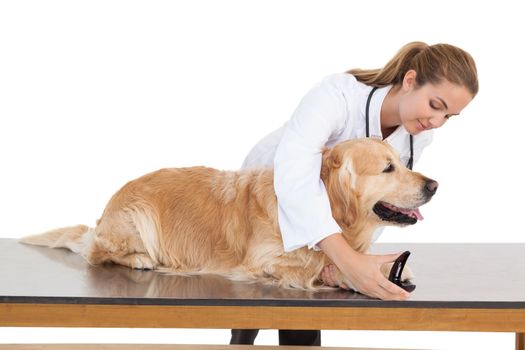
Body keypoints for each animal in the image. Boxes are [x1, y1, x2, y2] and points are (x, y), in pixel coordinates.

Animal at [20, 139, 436, 290]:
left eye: (403, 161)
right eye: (387, 169)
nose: (434, 185)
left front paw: (394, 267)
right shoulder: (261, 261)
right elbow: (309, 265)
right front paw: (347, 274)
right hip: (137, 217)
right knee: (98, 252)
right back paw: (139, 259)